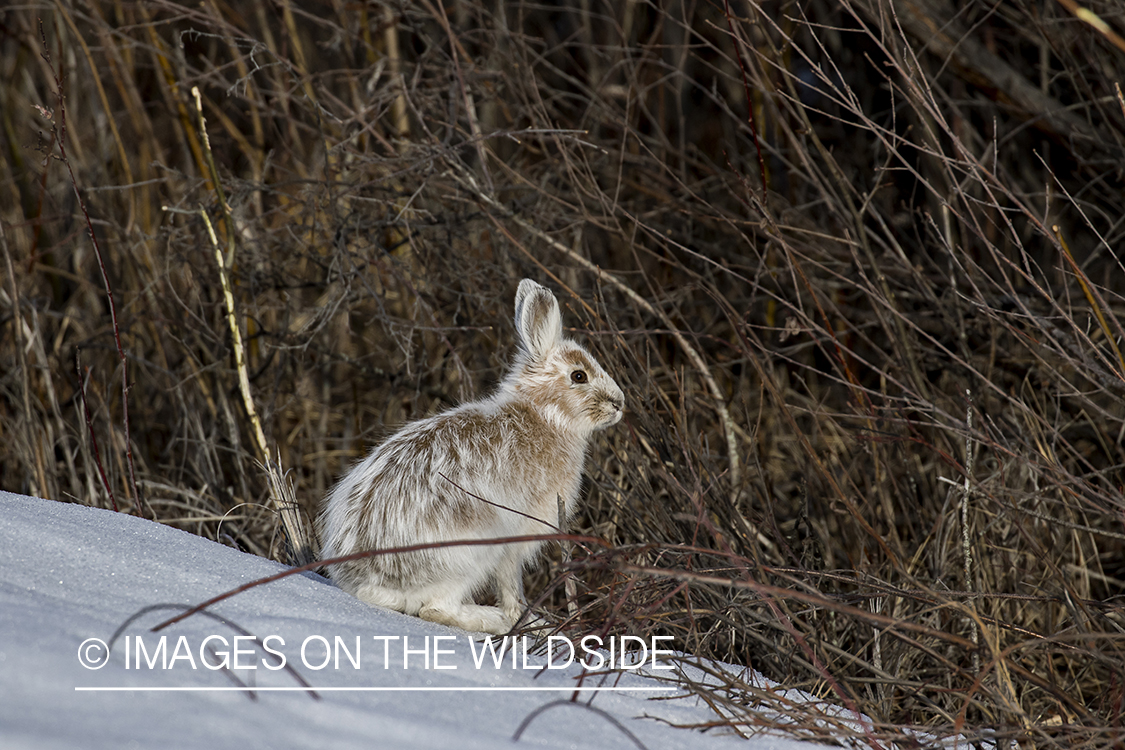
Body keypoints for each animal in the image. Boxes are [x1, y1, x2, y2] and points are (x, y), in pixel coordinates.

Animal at [318, 279, 624, 634]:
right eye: (578, 376)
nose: (619, 403)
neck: (544, 414)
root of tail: (371, 583)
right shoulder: (518, 535)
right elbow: (511, 585)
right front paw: (530, 622)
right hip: (469, 554)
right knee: (436, 610)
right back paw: (491, 620)